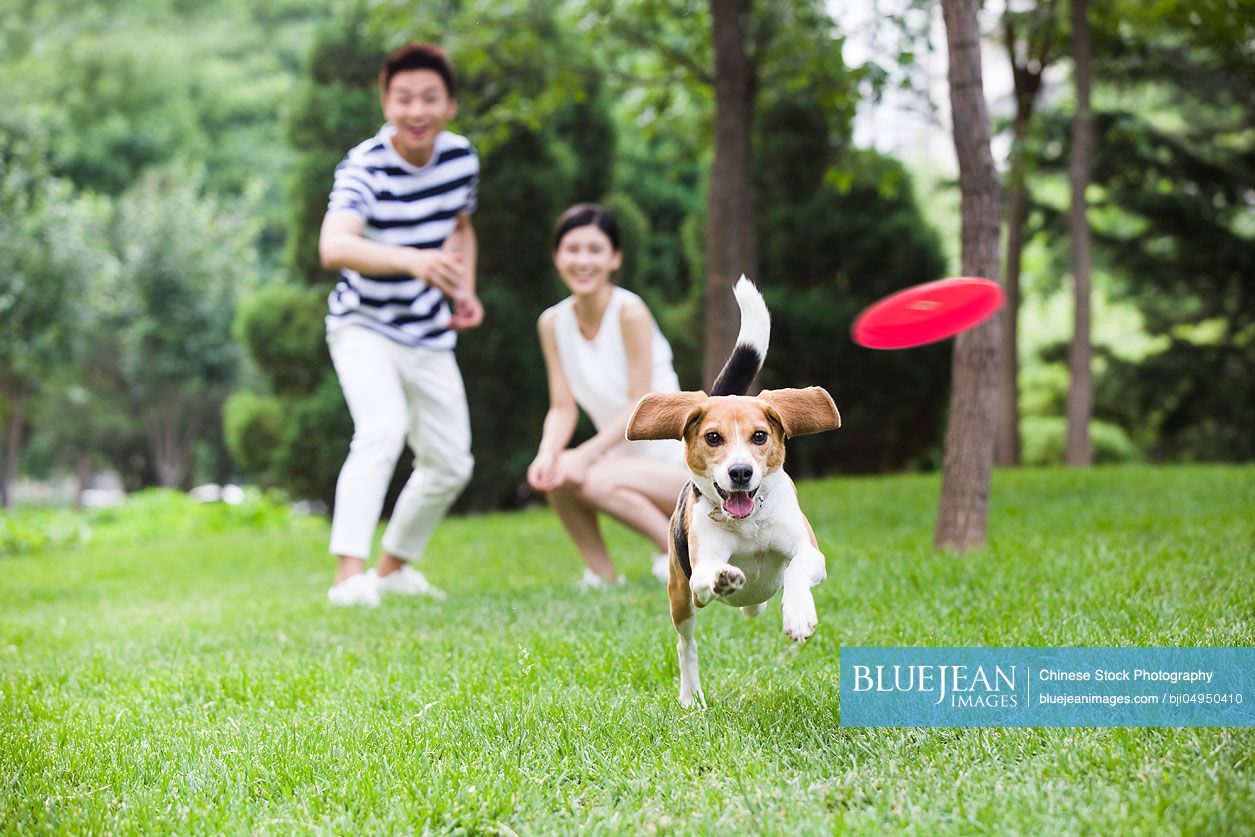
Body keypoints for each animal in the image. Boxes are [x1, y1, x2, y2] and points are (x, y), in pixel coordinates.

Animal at [624, 276, 838, 707]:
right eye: (713, 437)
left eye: (759, 436)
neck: (749, 523)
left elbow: (798, 568)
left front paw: (798, 614)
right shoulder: (699, 571)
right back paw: (691, 698)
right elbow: (710, 574)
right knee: (685, 645)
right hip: (680, 596)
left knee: (758, 602)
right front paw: (725, 577)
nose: (740, 472)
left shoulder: (810, 553)